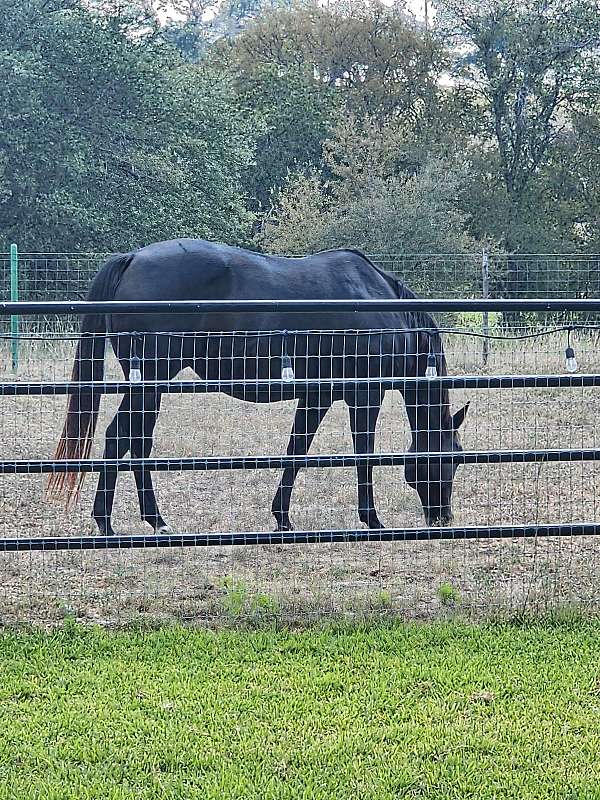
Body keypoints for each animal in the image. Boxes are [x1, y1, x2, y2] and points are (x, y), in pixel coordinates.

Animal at [48, 239, 468, 536]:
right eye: (452, 457)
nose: (442, 517)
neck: (381, 303)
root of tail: (133, 257)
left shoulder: (318, 394)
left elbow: (296, 450)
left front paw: (282, 517)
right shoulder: (365, 394)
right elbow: (362, 453)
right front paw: (372, 519)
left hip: (150, 385)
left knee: (134, 441)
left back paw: (145, 520)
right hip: (152, 381)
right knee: (123, 438)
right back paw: (116, 521)